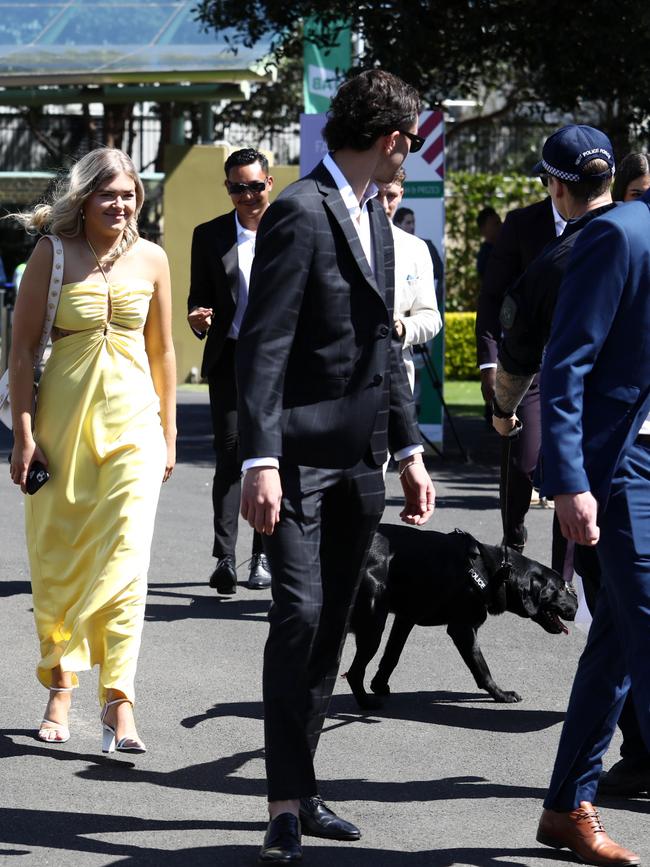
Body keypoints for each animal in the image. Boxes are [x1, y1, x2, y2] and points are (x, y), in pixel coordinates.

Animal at [344, 524, 576, 708]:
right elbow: (482, 668)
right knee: (354, 673)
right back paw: (365, 703)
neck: (492, 572)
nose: (577, 605)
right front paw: (501, 694)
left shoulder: (406, 618)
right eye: (561, 588)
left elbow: (392, 655)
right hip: (372, 627)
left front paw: (379, 684)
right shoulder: (462, 629)